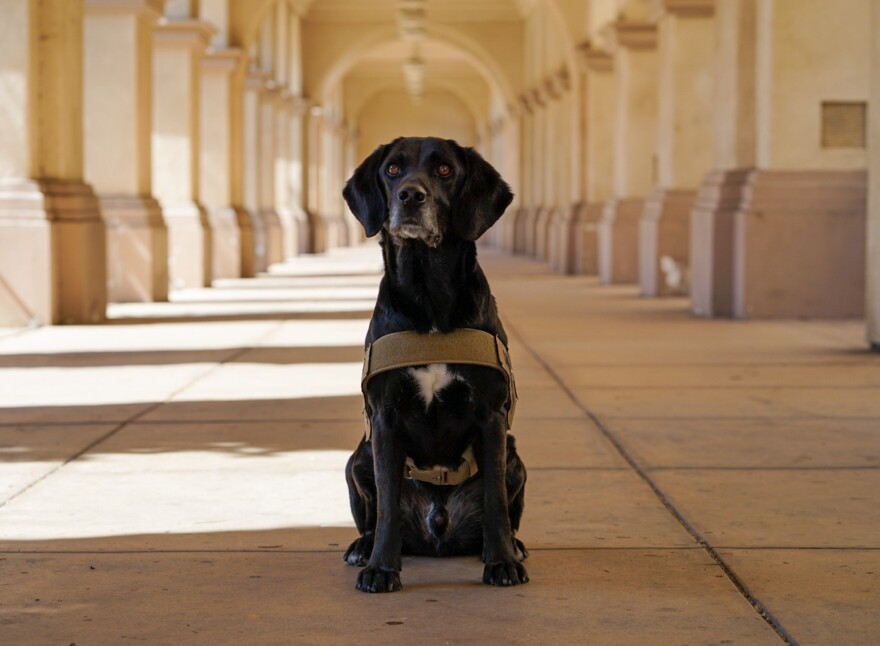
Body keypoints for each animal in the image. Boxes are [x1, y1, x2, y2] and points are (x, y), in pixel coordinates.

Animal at [340, 137, 524, 592]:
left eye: (444, 170)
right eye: (392, 170)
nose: (410, 195)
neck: (431, 303)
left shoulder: (492, 418)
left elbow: (496, 500)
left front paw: (502, 562)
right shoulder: (385, 419)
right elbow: (387, 502)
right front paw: (381, 568)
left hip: (515, 456)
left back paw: (513, 545)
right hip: (357, 458)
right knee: (371, 516)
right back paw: (362, 547)